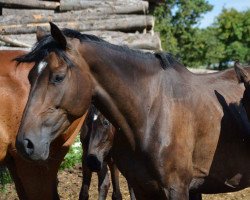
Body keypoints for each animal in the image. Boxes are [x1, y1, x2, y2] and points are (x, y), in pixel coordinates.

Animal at [16, 22, 250, 199]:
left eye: (58, 77)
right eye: (30, 77)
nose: (25, 144)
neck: (151, 113)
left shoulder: (176, 189)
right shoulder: (143, 187)